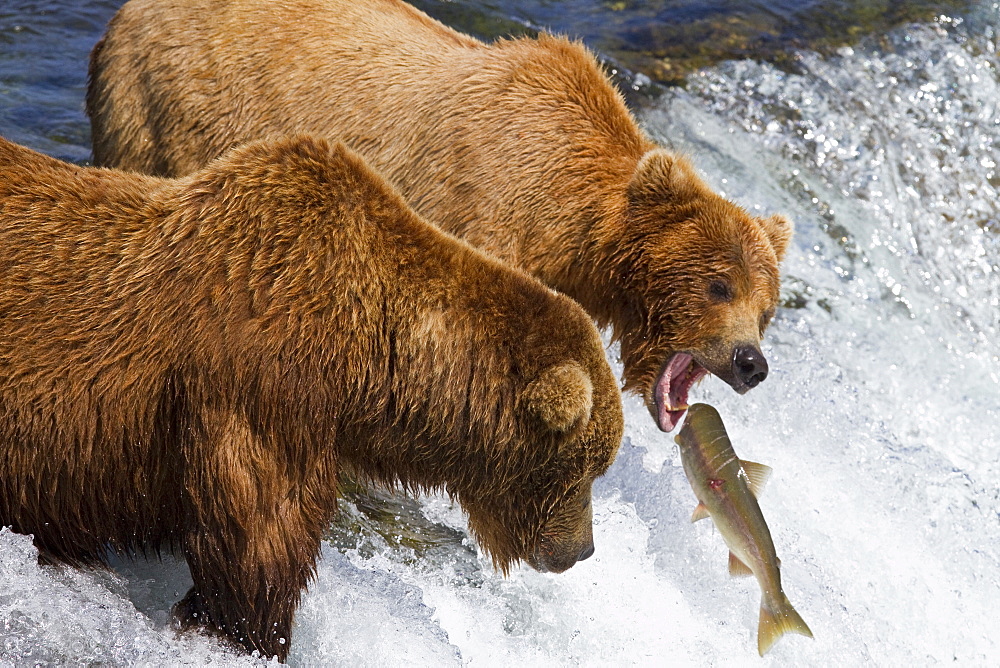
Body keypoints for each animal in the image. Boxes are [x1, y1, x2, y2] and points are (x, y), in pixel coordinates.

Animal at [86, 0, 788, 434]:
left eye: (766, 310)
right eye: (719, 285)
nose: (752, 364)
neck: (572, 221)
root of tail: (126, 11)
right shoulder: (482, 205)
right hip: (164, 107)